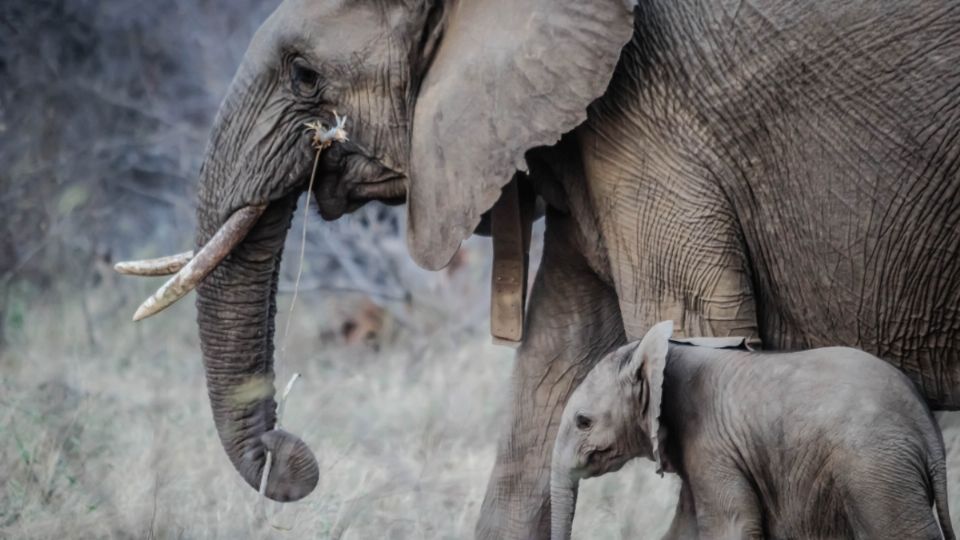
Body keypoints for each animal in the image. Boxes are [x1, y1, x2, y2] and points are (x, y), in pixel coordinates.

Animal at [552, 322, 956, 536]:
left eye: (583, 421)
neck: (662, 353)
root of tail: (928, 431)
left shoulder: (711, 444)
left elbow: (732, 525)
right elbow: (686, 529)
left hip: (876, 472)